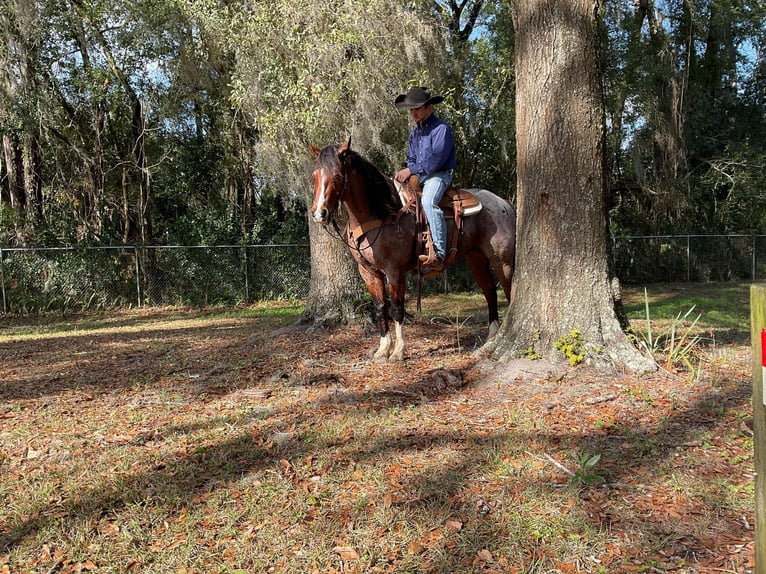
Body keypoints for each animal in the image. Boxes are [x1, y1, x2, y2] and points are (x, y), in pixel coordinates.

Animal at [308, 140, 516, 362]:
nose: (319, 214)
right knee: (489, 290)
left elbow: (397, 307)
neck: (381, 213)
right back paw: (492, 335)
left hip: (501, 259)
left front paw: (398, 351)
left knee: (508, 288)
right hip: (475, 256)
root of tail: (503, 202)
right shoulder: (368, 272)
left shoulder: (395, 271)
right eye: (314, 176)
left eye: (338, 176)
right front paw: (383, 349)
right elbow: (380, 308)